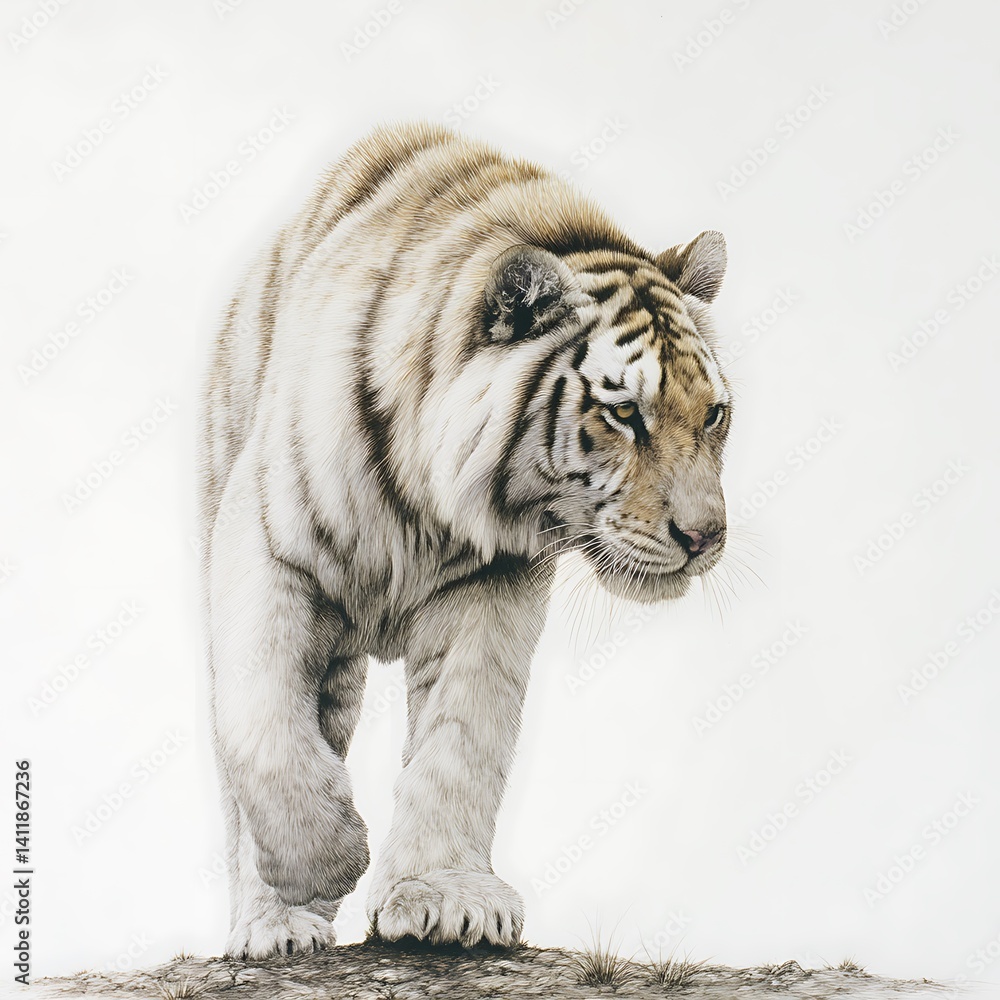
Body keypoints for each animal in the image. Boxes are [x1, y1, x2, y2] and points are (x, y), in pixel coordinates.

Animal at [198, 121, 731, 960]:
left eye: (713, 414)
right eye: (624, 414)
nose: (707, 536)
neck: (430, 498)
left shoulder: (494, 587)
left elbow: (461, 743)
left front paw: (444, 901)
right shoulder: (262, 545)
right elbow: (265, 731)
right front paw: (327, 862)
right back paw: (271, 925)